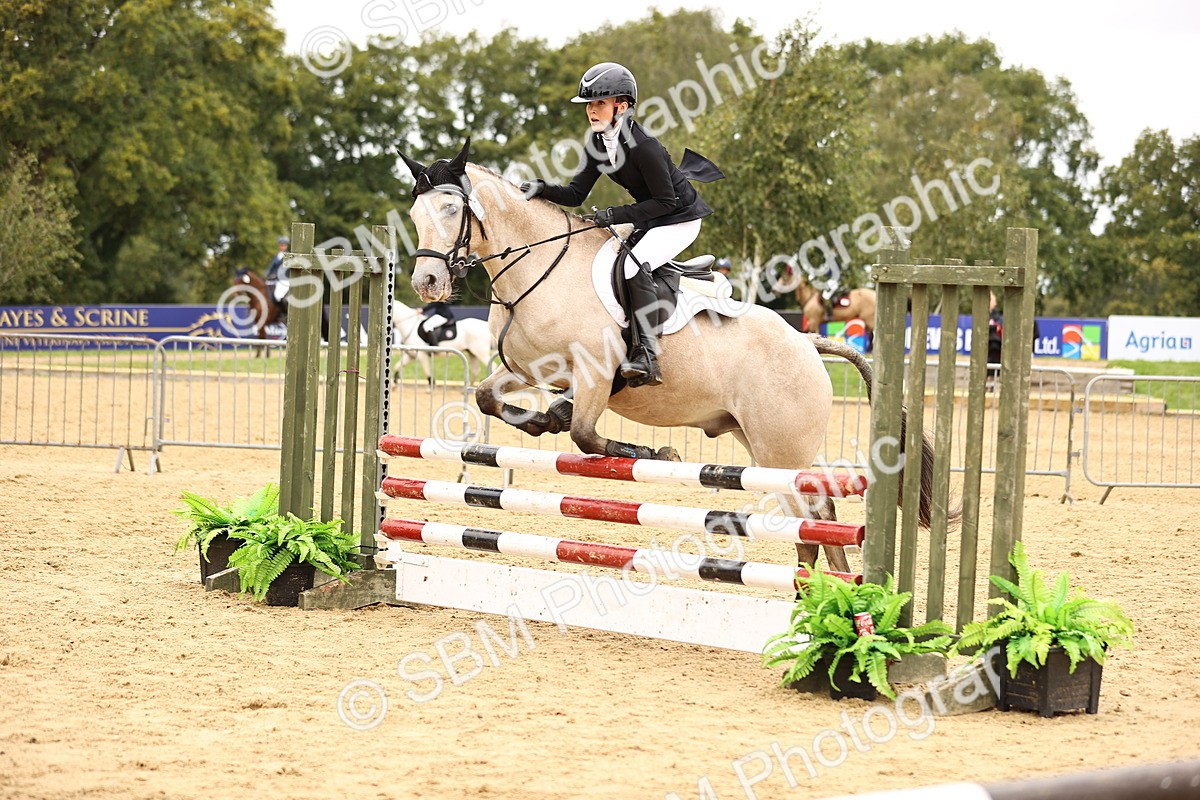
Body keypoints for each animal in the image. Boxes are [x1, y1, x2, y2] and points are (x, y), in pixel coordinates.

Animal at [400, 141, 945, 574]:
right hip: (755, 442)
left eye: (450, 209)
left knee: (816, 515)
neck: (538, 269)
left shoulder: (596, 374)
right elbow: (488, 398)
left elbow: (585, 435)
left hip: (780, 449)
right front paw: (545, 419)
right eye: (414, 216)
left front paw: (655, 453)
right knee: (810, 517)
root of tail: (806, 343)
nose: (427, 283)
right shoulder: (528, 369)